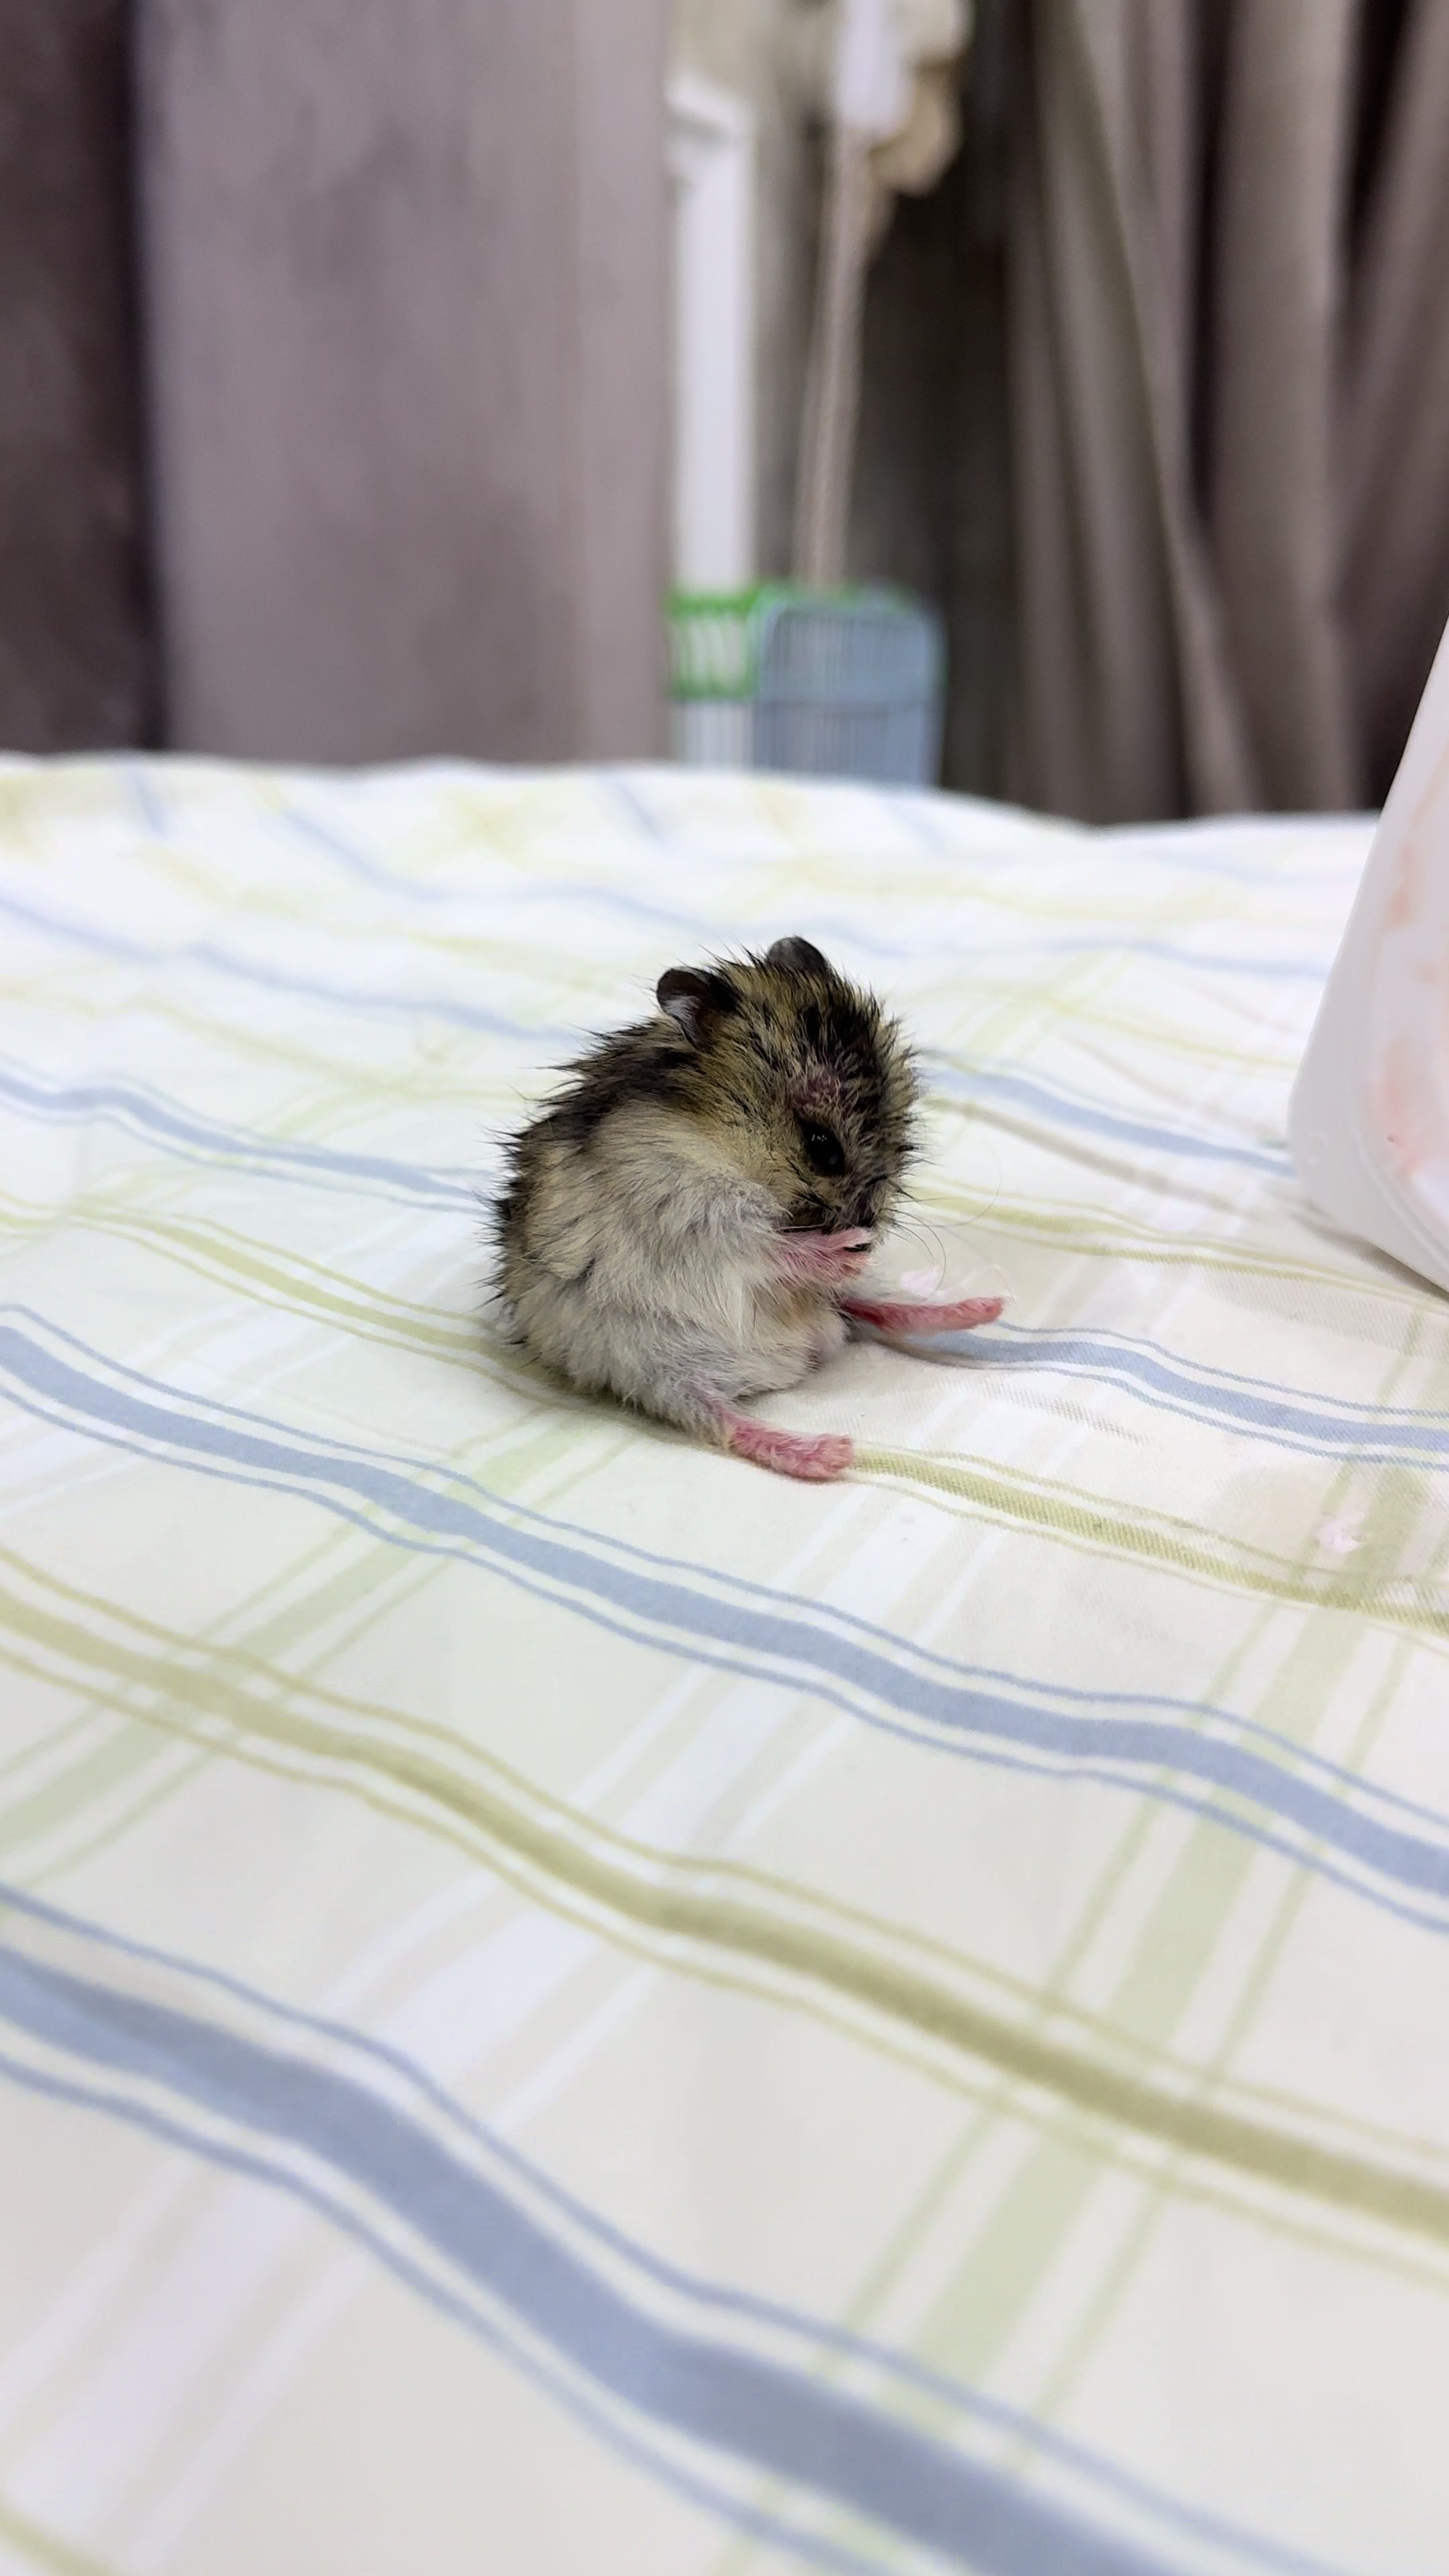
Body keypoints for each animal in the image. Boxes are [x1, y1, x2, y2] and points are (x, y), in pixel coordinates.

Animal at [491, 936, 1001, 1480]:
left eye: (902, 1135)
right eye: (822, 1146)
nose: (866, 1234)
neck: (720, 1143)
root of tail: (801, 1355)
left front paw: (856, 1253)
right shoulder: (686, 1207)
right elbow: (764, 1245)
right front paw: (844, 1250)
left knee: (872, 1310)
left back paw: (986, 1307)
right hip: (651, 1365)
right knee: (727, 1421)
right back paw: (829, 1454)